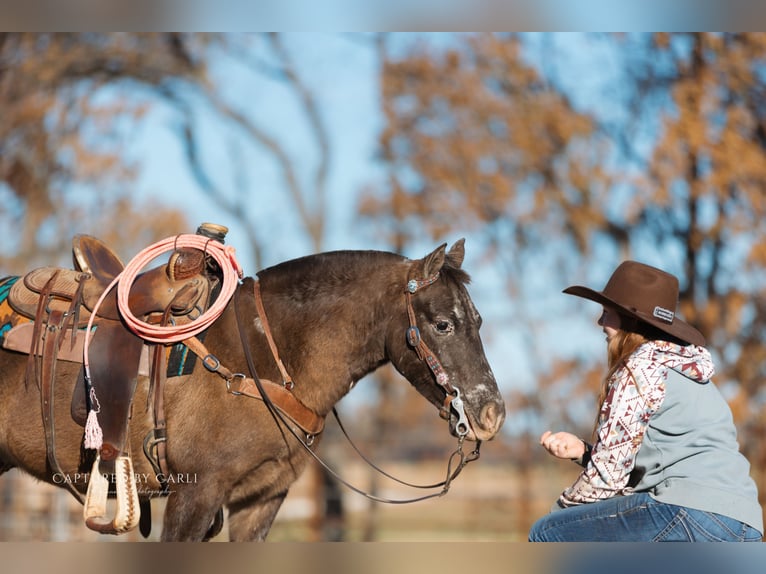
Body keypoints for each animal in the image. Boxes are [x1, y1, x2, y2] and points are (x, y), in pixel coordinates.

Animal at [0, 237, 505, 541]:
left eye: (479, 321)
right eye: (442, 324)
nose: (492, 414)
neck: (260, 358)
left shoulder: (261, 500)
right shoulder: (194, 495)